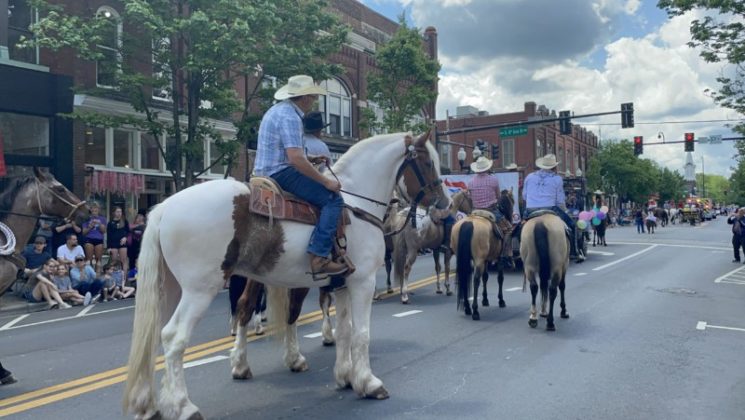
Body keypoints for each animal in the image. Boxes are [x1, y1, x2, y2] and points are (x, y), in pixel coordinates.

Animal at [123, 132, 448, 420]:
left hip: (170, 289)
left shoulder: (343, 285)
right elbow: (361, 334)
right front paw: (369, 383)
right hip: (200, 290)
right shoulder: (363, 282)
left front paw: (346, 376)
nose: (443, 205)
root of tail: (165, 207)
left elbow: (344, 331)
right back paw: (183, 406)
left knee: (154, 337)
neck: (356, 207)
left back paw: (150, 404)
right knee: (173, 337)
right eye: (427, 163)